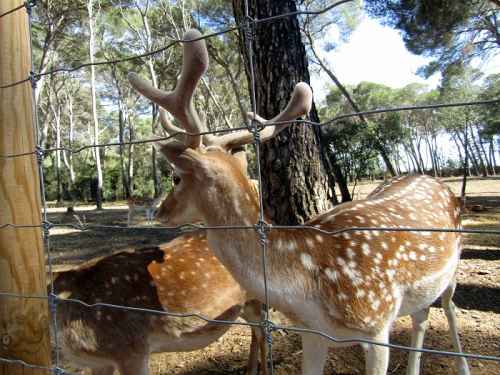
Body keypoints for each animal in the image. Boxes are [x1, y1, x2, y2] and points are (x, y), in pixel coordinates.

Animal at [127, 28, 470, 375]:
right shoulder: (313, 333)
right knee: (421, 317)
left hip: (454, 266)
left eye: (176, 177)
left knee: (450, 308)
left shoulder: (377, 324)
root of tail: (435, 181)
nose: (160, 211)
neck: (309, 290)